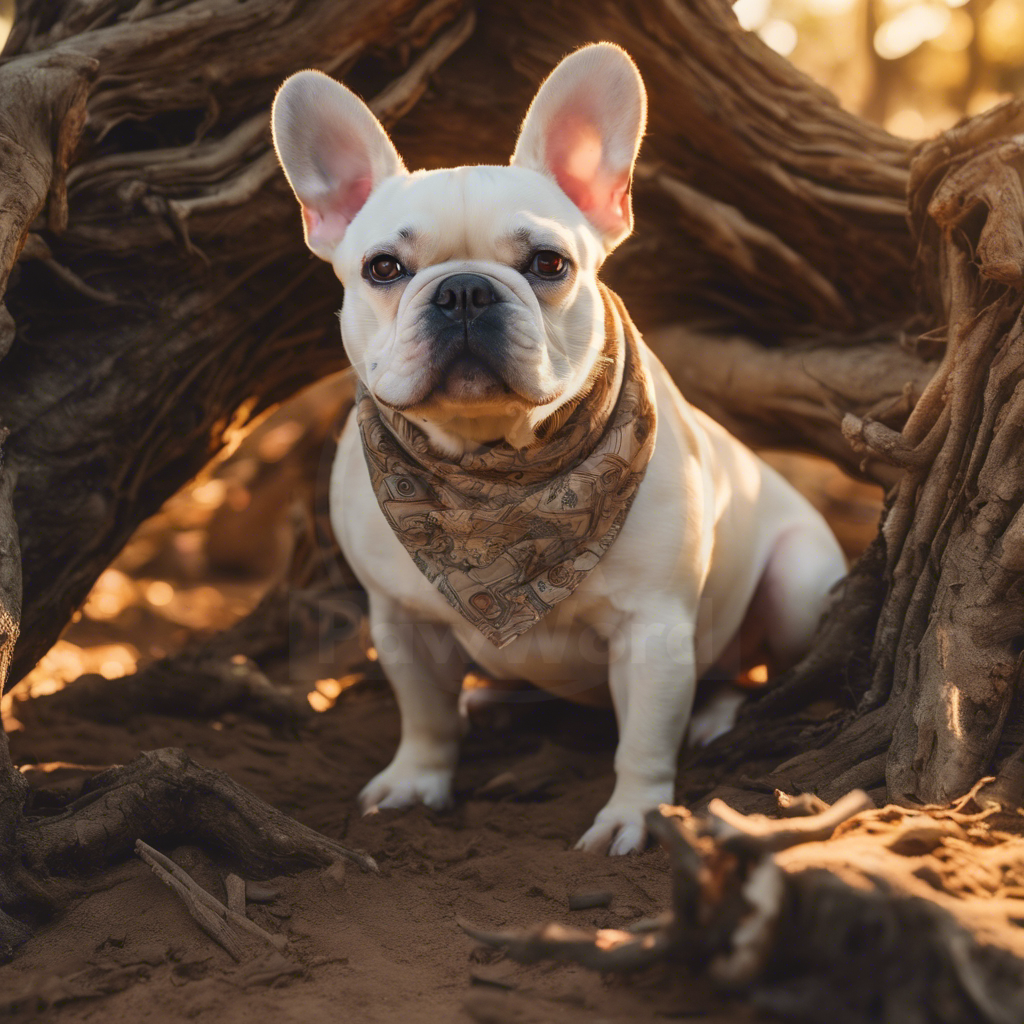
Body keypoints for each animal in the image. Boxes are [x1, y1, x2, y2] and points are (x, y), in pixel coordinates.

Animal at [270, 41, 839, 856]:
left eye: (548, 264)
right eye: (384, 268)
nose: (465, 291)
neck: (494, 473)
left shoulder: (655, 630)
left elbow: (644, 738)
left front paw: (634, 814)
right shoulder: (401, 620)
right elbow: (424, 711)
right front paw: (418, 779)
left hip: (797, 585)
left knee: (750, 670)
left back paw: (716, 716)